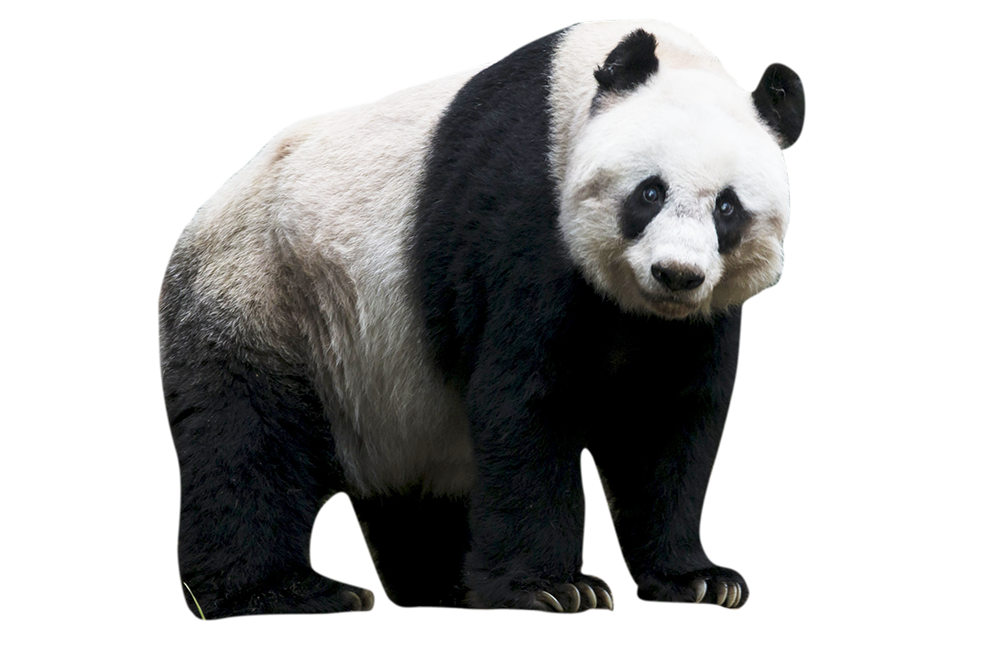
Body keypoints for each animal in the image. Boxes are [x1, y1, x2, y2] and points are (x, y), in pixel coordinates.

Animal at [160, 19, 805, 620]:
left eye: (728, 208)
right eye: (649, 193)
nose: (676, 274)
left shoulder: (690, 320)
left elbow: (661, 420)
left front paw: (699, 579)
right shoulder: (521, 213)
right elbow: (527, 398)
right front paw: (555, 588)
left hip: (390, 388)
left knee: (417, 494)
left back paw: (443, 585)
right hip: (272, 290)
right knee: (249, 440)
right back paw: (281, 592)